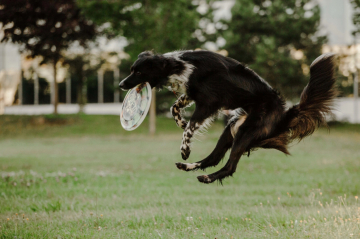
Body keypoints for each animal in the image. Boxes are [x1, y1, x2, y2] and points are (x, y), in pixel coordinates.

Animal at [119, 50, 336, 185]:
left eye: (138, 71)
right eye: (132, 70)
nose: (121, 84)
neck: (179, 65)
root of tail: (283, 114)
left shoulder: (208, 103)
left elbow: (191, 126)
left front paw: (185, 147)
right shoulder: (192, 94)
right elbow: (175, 108)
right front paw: (180, 122)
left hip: (245, 133)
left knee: (230, 166)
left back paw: (205, 177)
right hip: (231, 129)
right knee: (213, 158)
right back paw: (188, 166)